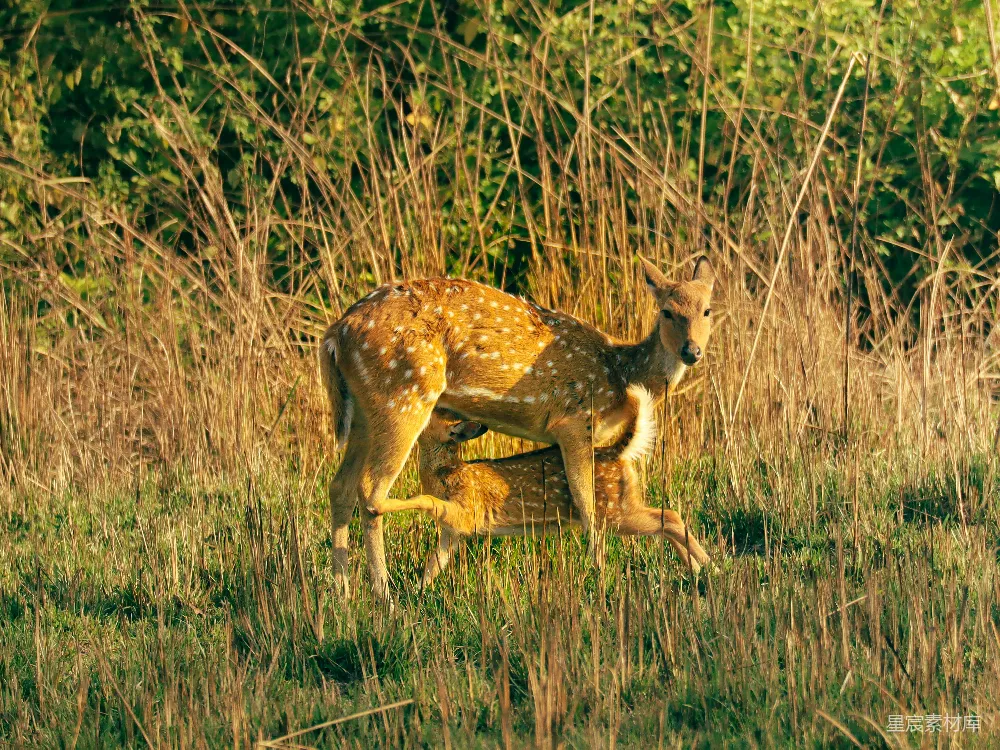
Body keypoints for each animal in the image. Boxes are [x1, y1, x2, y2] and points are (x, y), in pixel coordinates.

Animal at [377, 385, 711, 585]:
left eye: (433, 414)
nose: (415, 404)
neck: (445, 474)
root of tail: (618, 453)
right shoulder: (453, 532)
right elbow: (435, 562)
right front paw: (419, 592)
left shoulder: (467, 513)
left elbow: (427, 501)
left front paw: (384, 504)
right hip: (622, 505)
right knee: (666, 520)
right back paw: (698, 569)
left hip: (612, 510)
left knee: (669, 517)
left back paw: (709, 565)